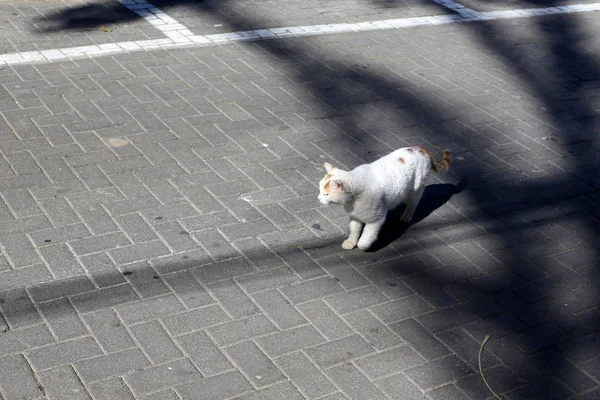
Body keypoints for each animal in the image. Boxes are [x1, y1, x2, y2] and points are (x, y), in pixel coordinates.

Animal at [318, 145, 450, 252]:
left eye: (326, 194)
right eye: (320, 189)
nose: (318, 198)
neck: (352, 201)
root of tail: (420, 148)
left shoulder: (376, 219)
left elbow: (365, 239)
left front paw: (363, 246)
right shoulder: (355, 216)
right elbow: (354, 231)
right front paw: (351, 242)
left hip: (415, 189)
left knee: (413, 203)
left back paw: (406, 216)